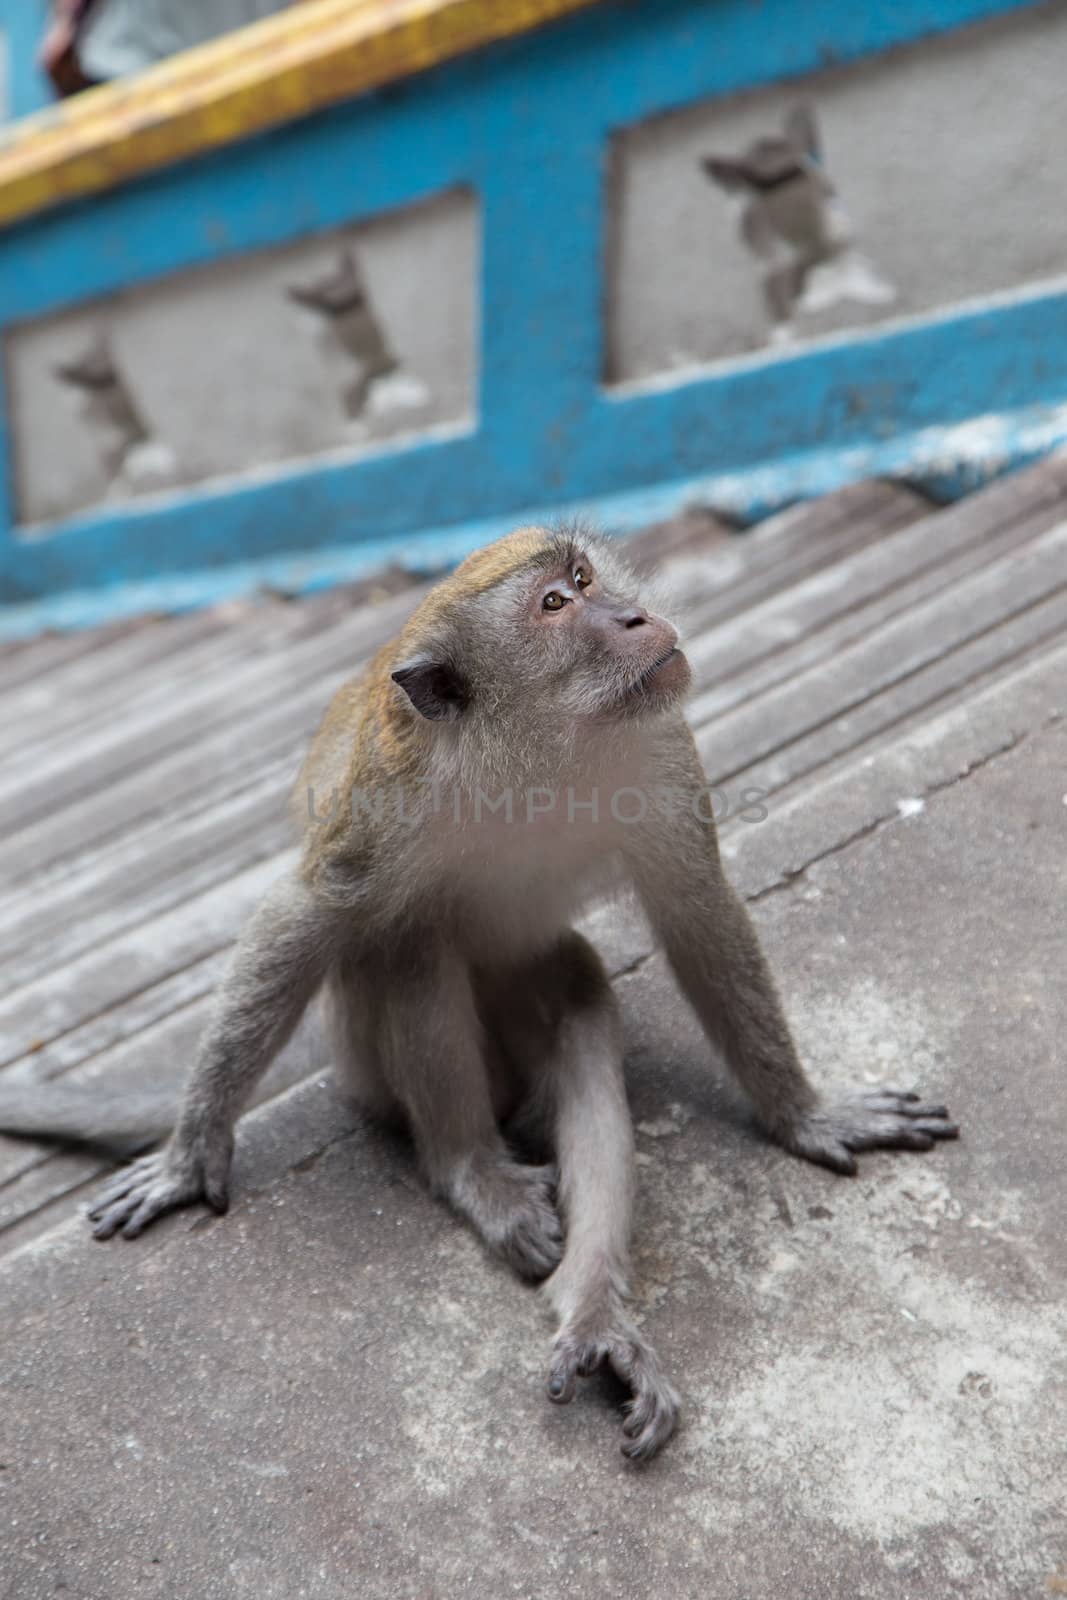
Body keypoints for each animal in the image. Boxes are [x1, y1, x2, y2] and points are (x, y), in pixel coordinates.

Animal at [0, 528, 959, 1465]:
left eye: (584, 576)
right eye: (554, 605)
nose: (633, 614)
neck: (539, 750)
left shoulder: (656, 749)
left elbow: (697, 913)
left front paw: (804, 1113)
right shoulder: (388, 799)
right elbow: (306, 915)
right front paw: (189, 1151)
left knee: (576, 1006)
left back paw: (593, 1311)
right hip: (368, 1060)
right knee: (407, 945)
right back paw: (473, 1174)